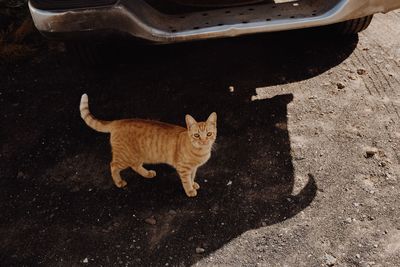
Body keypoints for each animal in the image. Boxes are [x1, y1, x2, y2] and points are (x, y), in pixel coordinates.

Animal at [80, 93, 217, 197]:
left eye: (209, 134)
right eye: (197, 135)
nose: (204, 141)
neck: (200, 152)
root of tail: (118, 121)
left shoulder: (193, 168)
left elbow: (192, 177)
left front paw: (193, 184)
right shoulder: (183, 168)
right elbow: (186, 180)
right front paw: (190, 190)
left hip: (137, 156)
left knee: (135, 166)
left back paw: (147, 174)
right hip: (125, 157)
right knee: (113, 165)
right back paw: (119, 182)